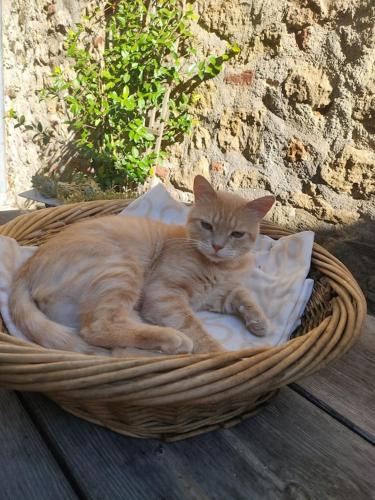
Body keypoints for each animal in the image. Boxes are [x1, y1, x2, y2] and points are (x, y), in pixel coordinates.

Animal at [10, 177, 274, 356]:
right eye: (207, 225)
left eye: (237, 234)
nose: (217, 246)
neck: (219, 267)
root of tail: (26, 267)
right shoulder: (163, 295)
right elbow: (194, 327)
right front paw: (218, 354)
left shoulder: (216, 296)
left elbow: (243, 295)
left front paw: (260, 322)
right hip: (121, 271)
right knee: (97, 328)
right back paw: (173, 339)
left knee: (118, 344)